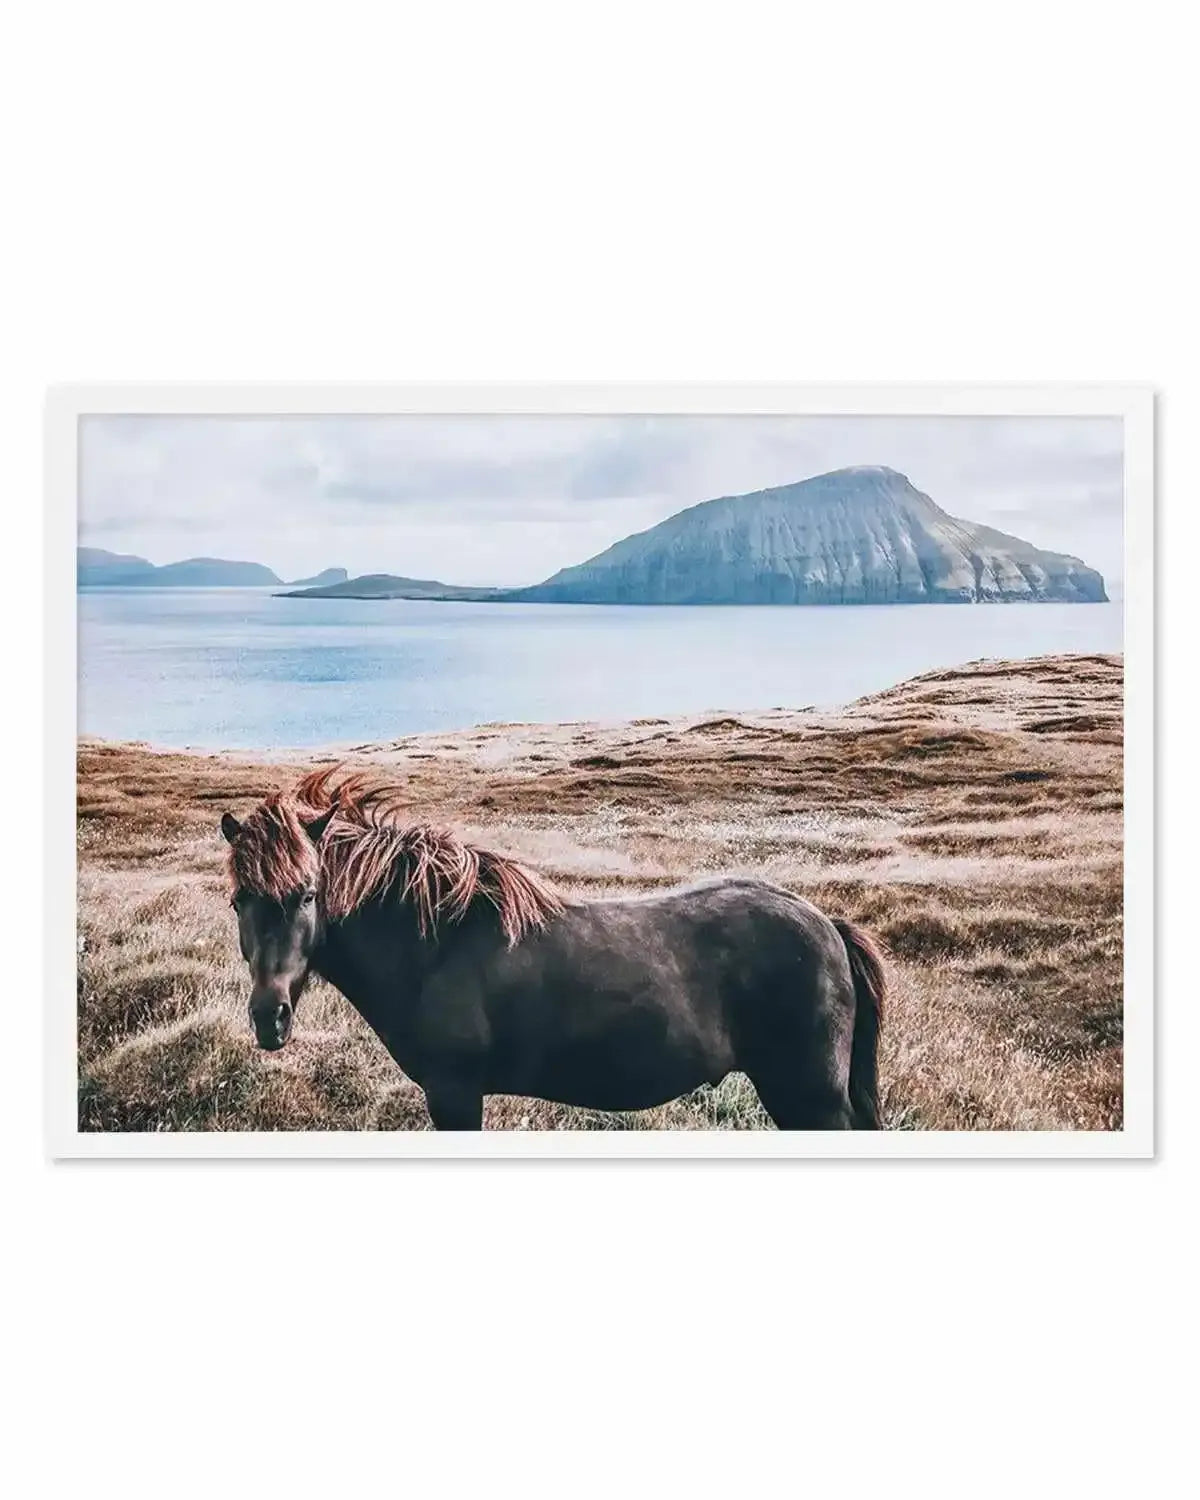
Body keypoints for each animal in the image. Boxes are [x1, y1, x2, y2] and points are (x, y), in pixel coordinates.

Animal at [220, 768, 886, 1130]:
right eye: (237, 901)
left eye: (307, 895)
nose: (269, 1018)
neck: (434, 946)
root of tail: (828, 925)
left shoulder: (454, 1092)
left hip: (809, 1097)